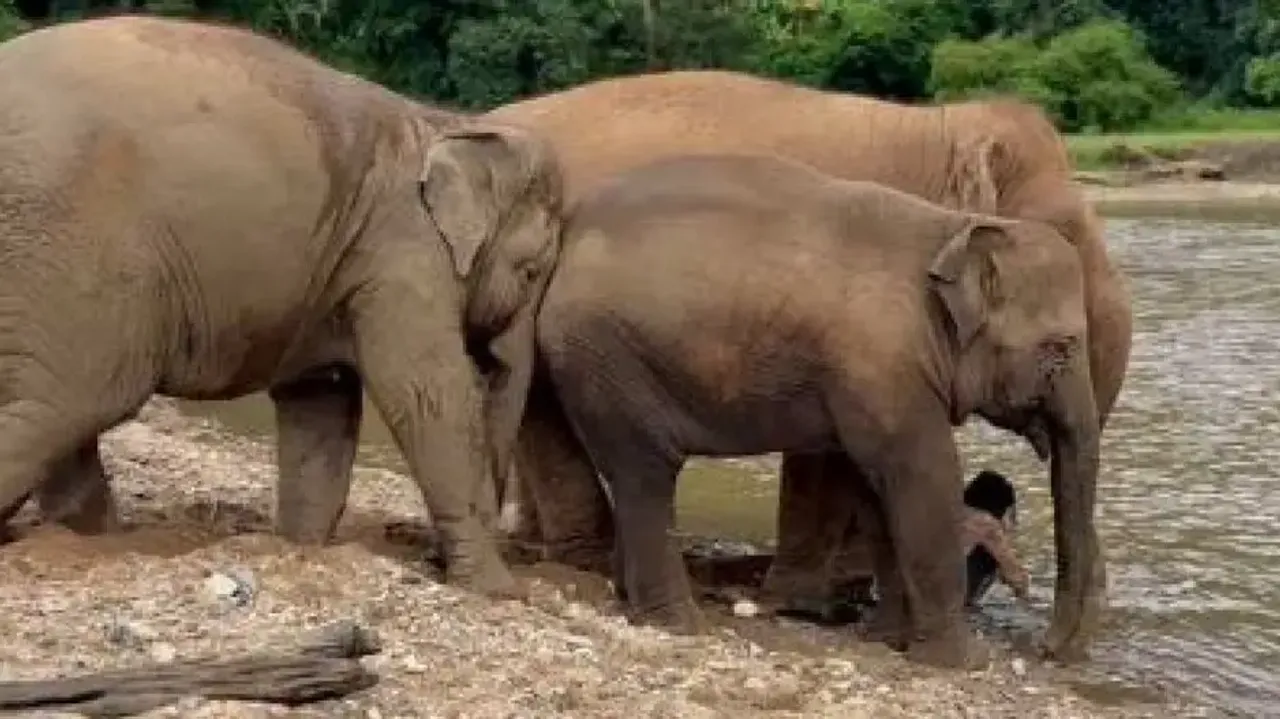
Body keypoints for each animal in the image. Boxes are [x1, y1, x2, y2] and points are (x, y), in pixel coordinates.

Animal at [0, 15, 566, 598]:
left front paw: (299, 547)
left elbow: (321, 404)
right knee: (75, 399)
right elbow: (428, 394)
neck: (444, 122)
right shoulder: (402, 252)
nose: (428, 555)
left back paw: (85, 539)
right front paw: (499, 591)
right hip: (81, 253)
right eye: (531, 271)